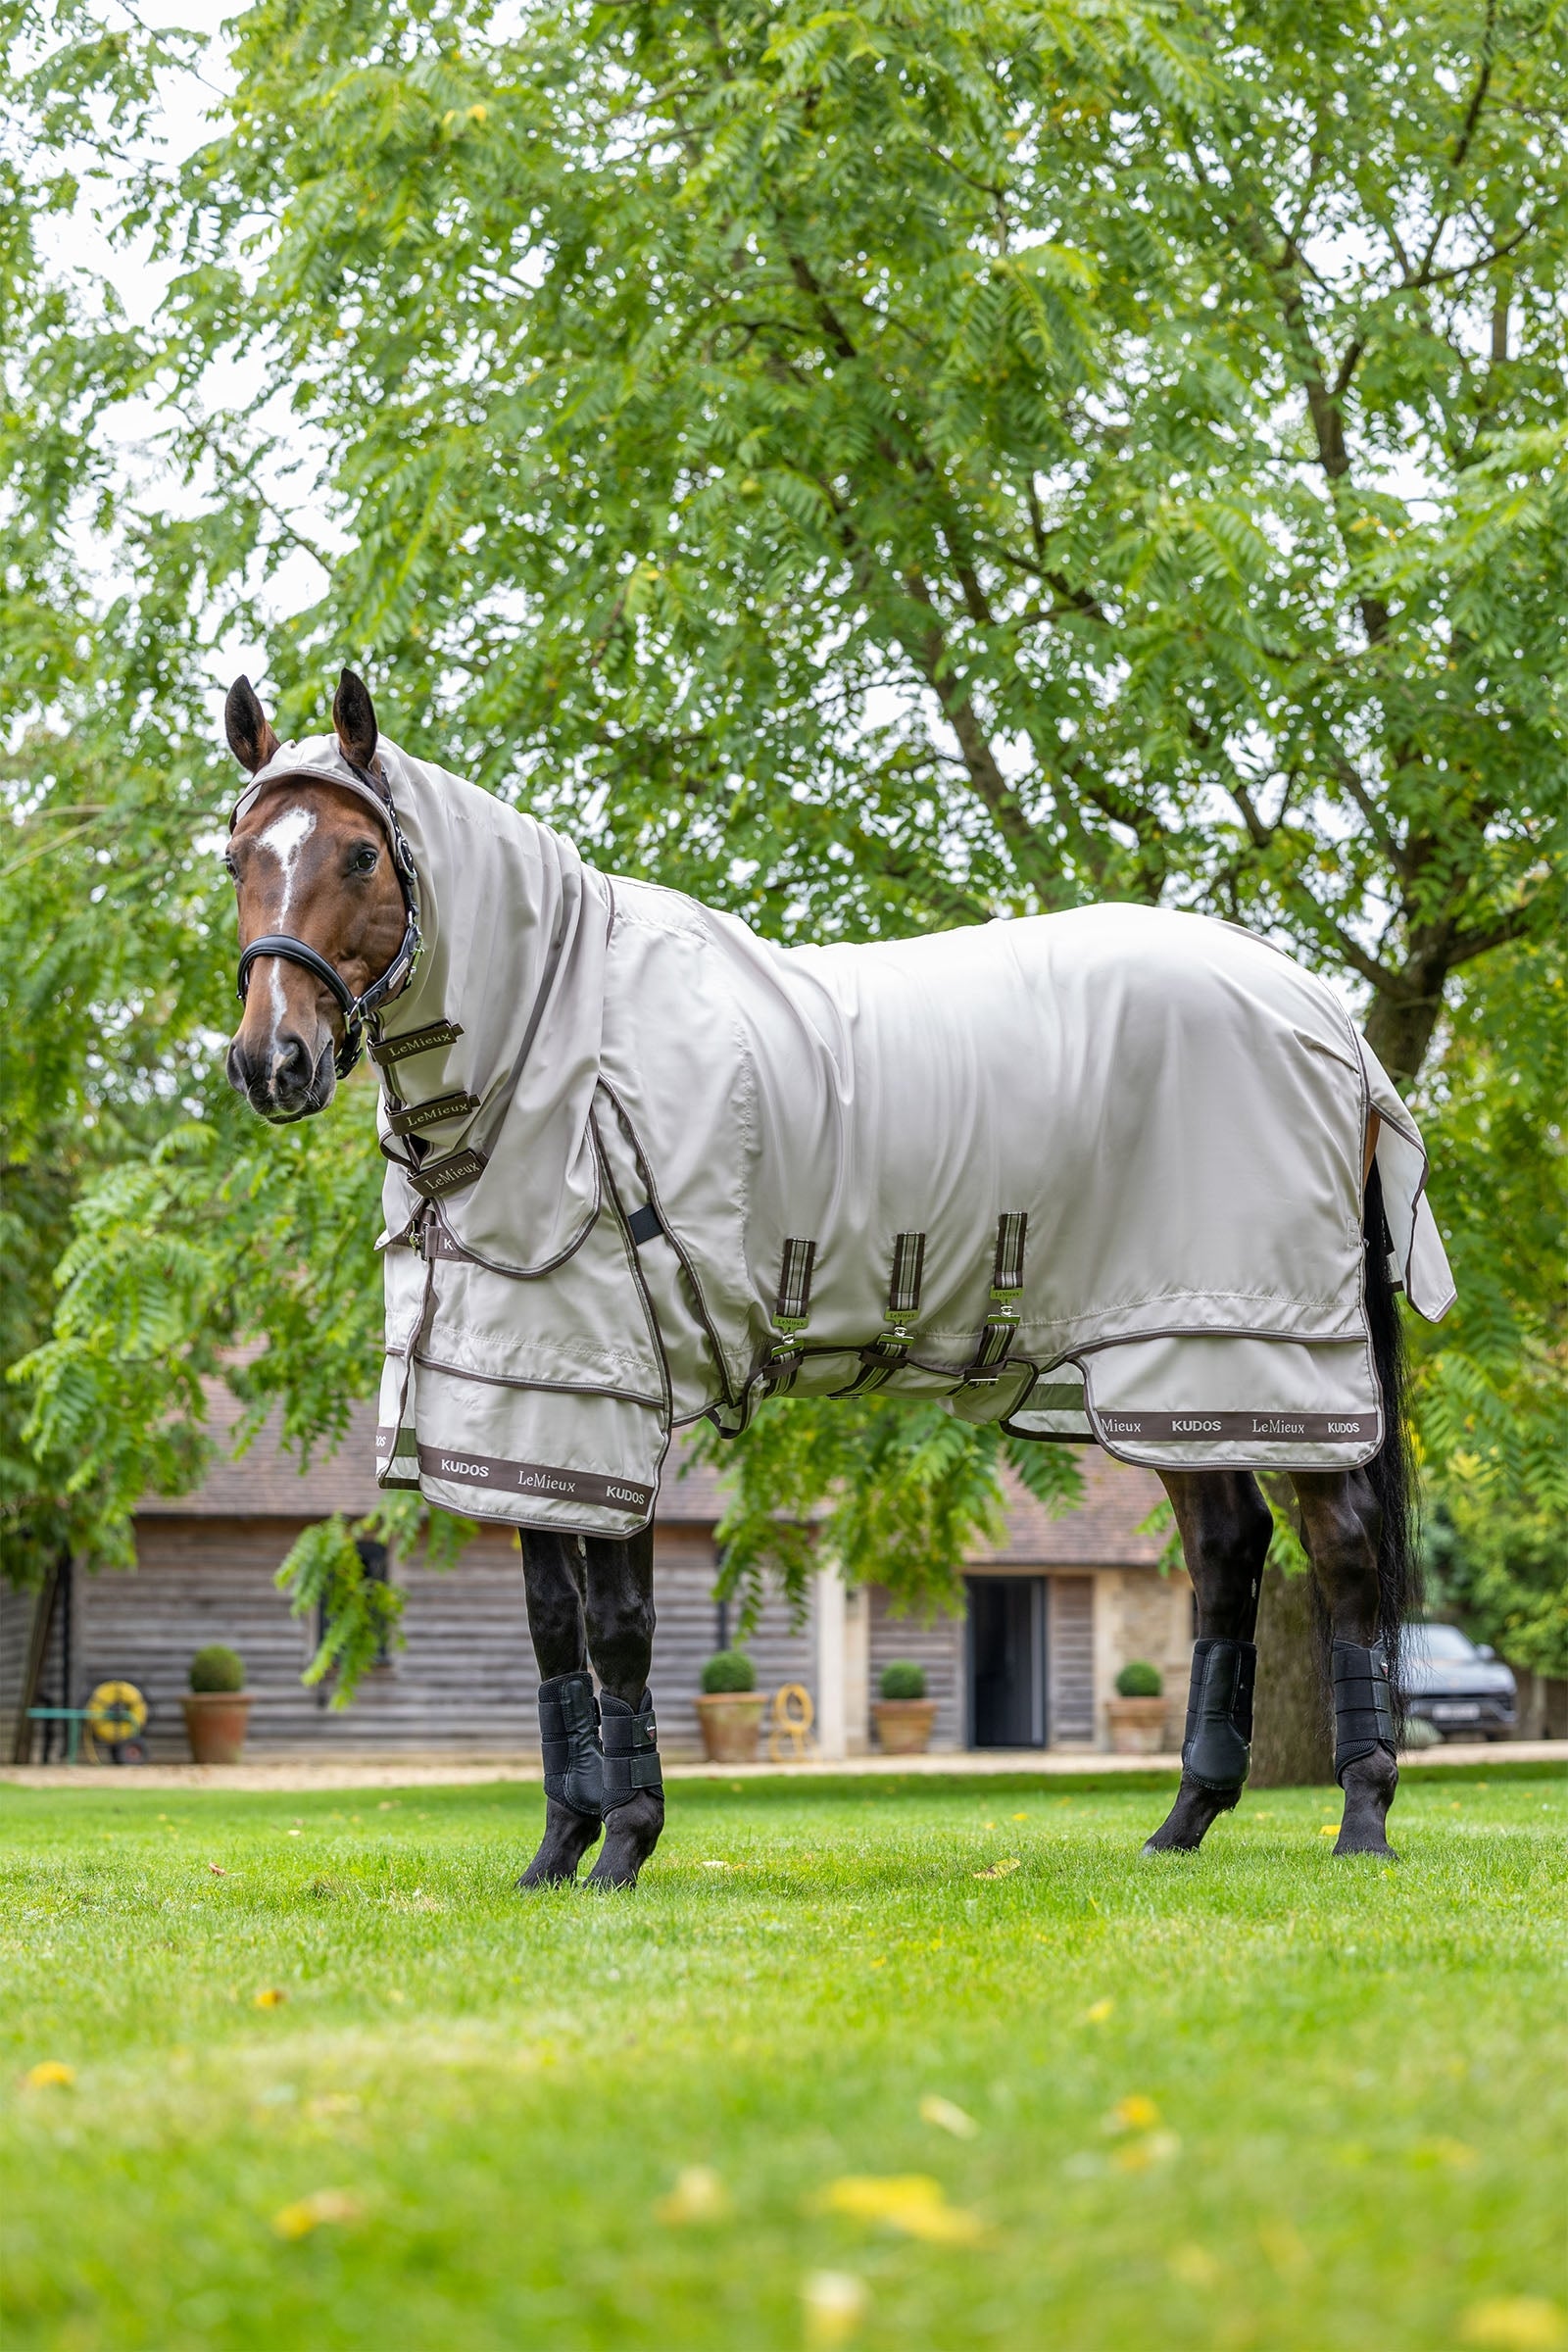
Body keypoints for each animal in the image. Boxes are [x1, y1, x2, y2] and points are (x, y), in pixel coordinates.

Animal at [223, 668, 1449, 1888]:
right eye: (237, 858)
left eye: (360, 856)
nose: (272, 1063)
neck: (559, 1059)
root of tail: (1327, 1019)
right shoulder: (528, 1402)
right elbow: (549, 1624)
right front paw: (556, 1854)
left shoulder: (611, 1393)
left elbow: (618, 1625)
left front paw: (622, 1846)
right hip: (1167, 1366)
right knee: (1227, 1550)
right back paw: (1184, 1820)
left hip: (1261, 1354)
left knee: (1341, 1551)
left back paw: (1363, 1822)